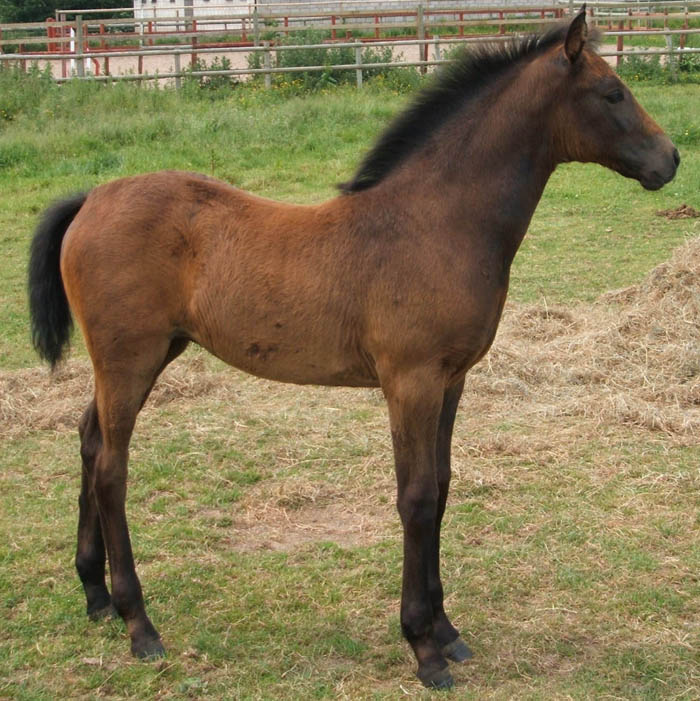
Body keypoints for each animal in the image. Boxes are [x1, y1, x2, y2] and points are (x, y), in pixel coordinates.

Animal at [27, 9, 680, 688]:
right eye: (612, 93)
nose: (672, 159)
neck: (435, 223)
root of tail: (91, 198)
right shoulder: (411, 381)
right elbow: (416, 498)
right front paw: (423, 647)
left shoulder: (452, 380)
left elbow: (441, 486)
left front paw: (448, 631)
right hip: (129, 359)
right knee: (111, 468)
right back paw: (140, 625)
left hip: (144, 358)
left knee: (88, 440)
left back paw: (95, 597)